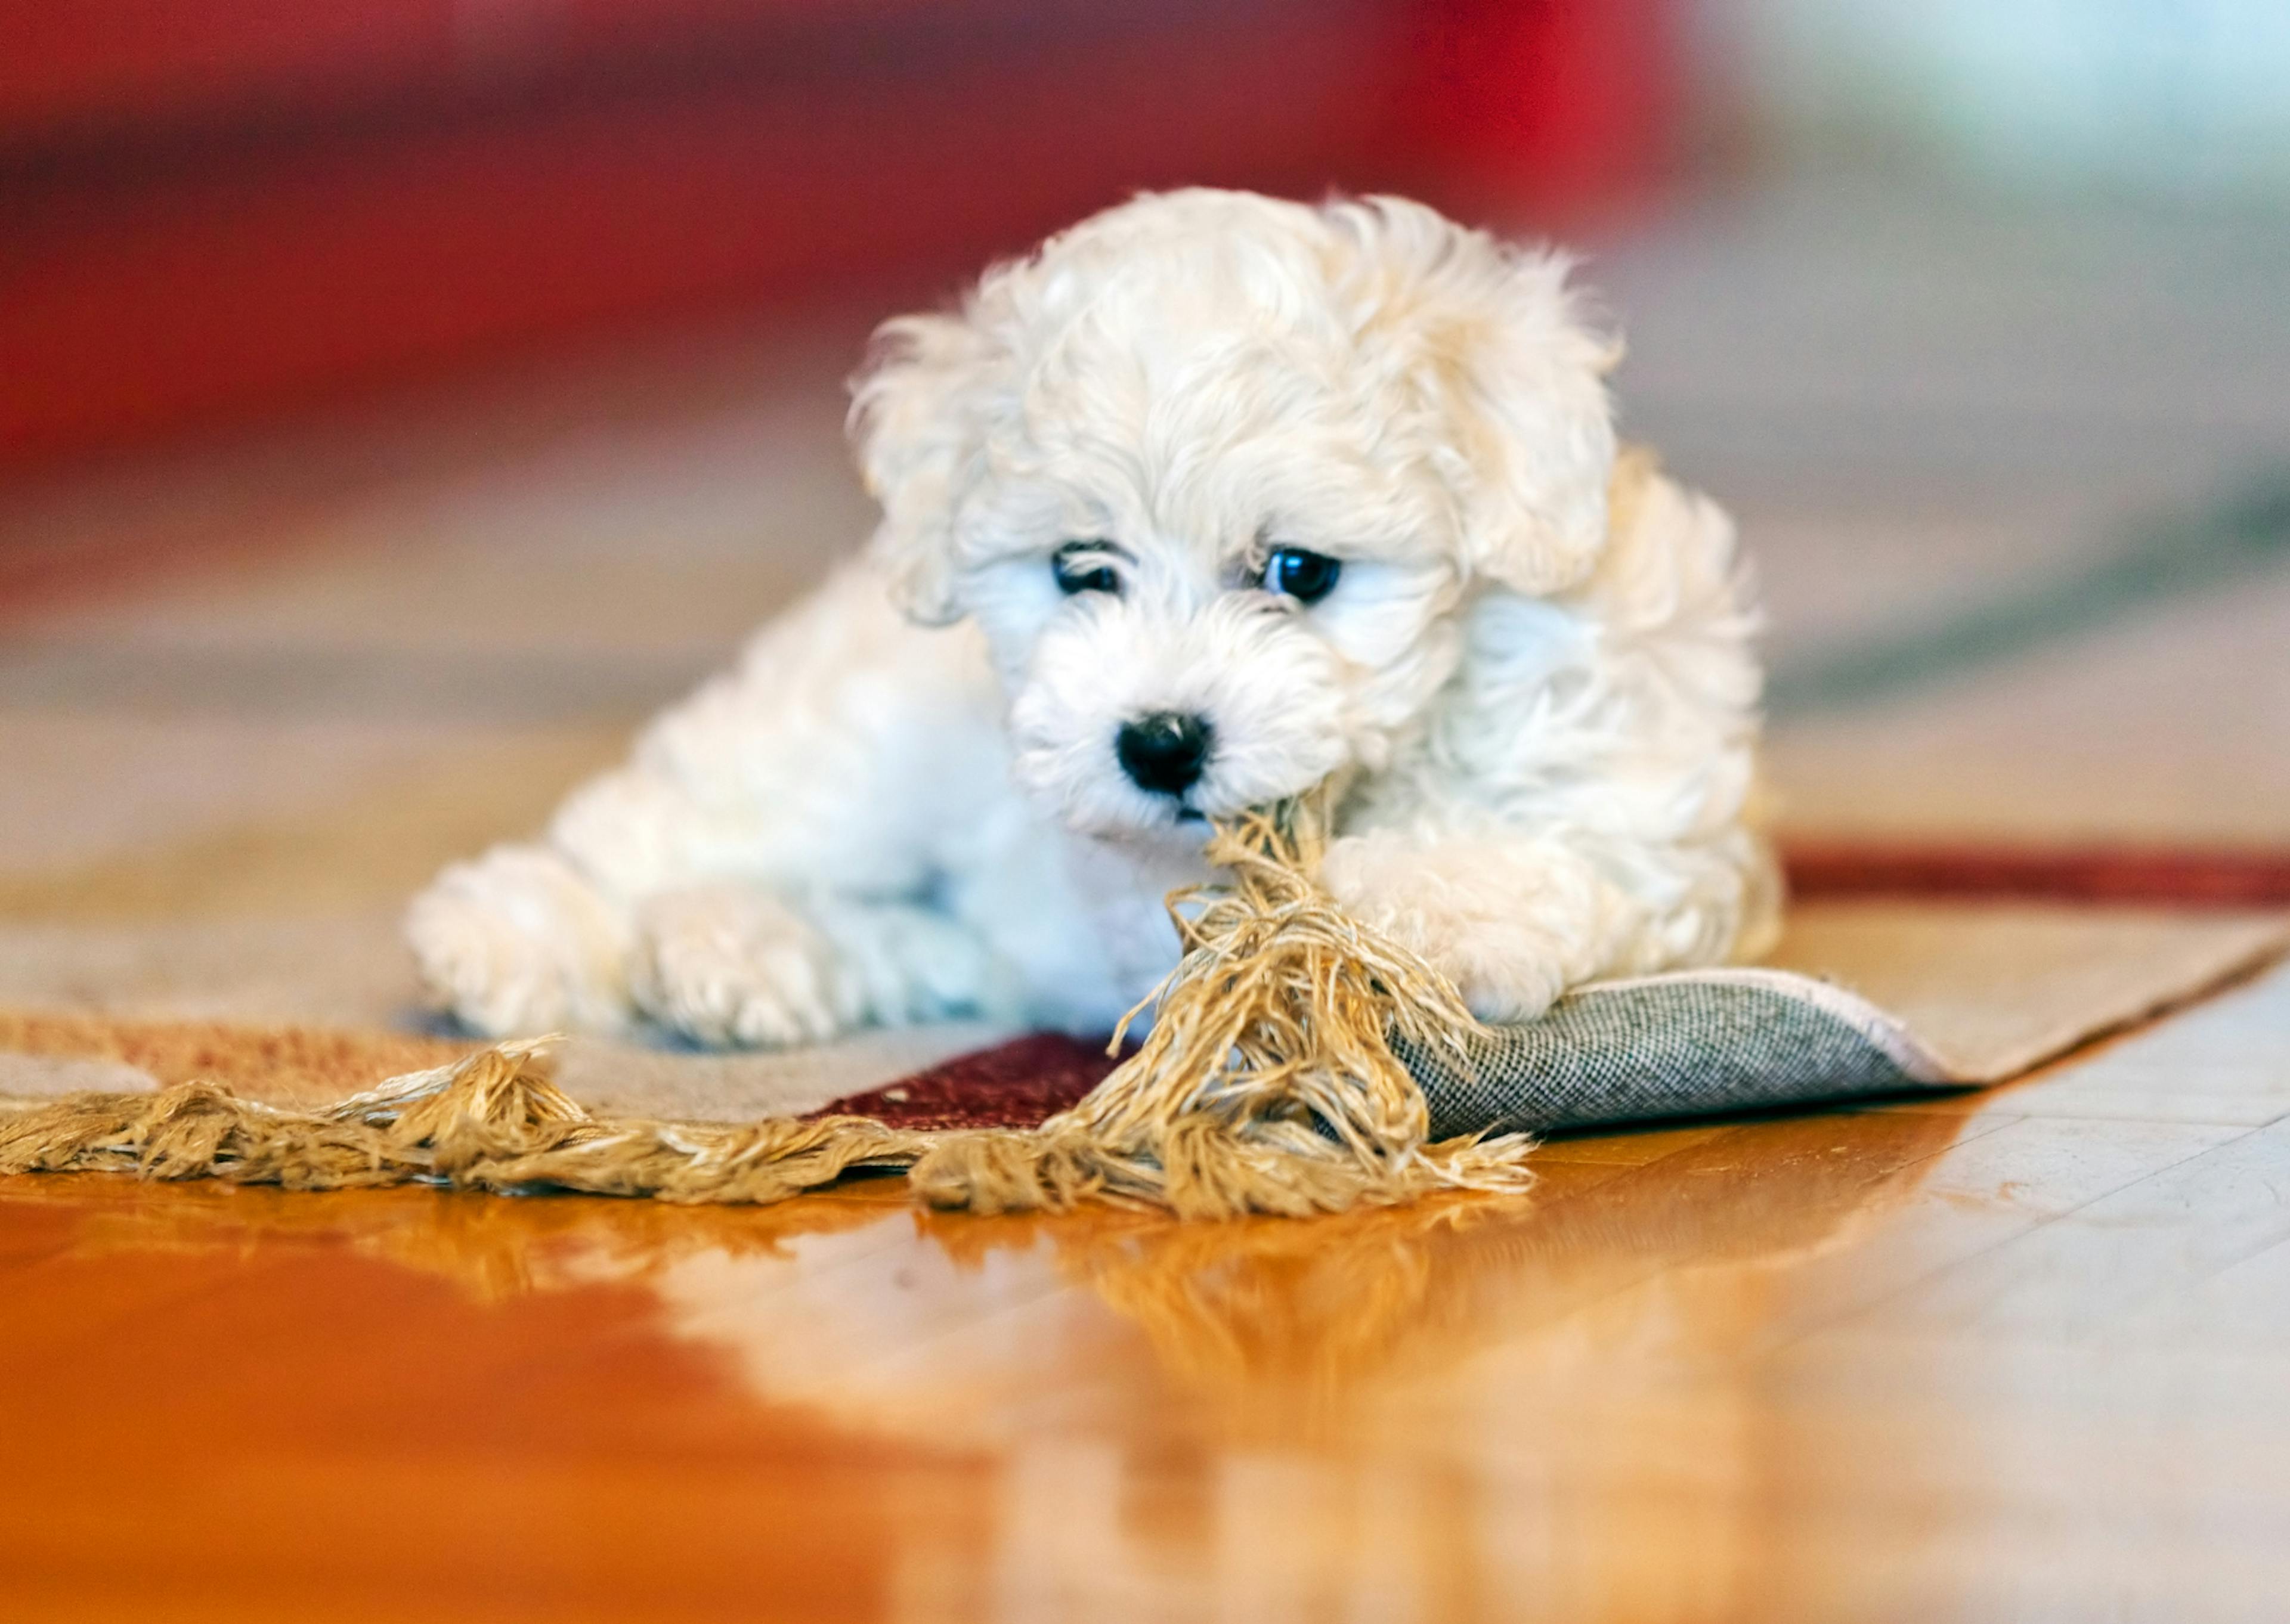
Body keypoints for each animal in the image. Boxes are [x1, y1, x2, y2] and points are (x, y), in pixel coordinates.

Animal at [407, 190, 1768, 1044]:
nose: (1159, 742)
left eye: (1298, 570)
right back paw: (508, 941)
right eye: (1081, 568)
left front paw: (1418, 907)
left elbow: (1543, 848)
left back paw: (727, 955)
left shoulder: (1651, 813)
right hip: (845, 758)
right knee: (659, 835)